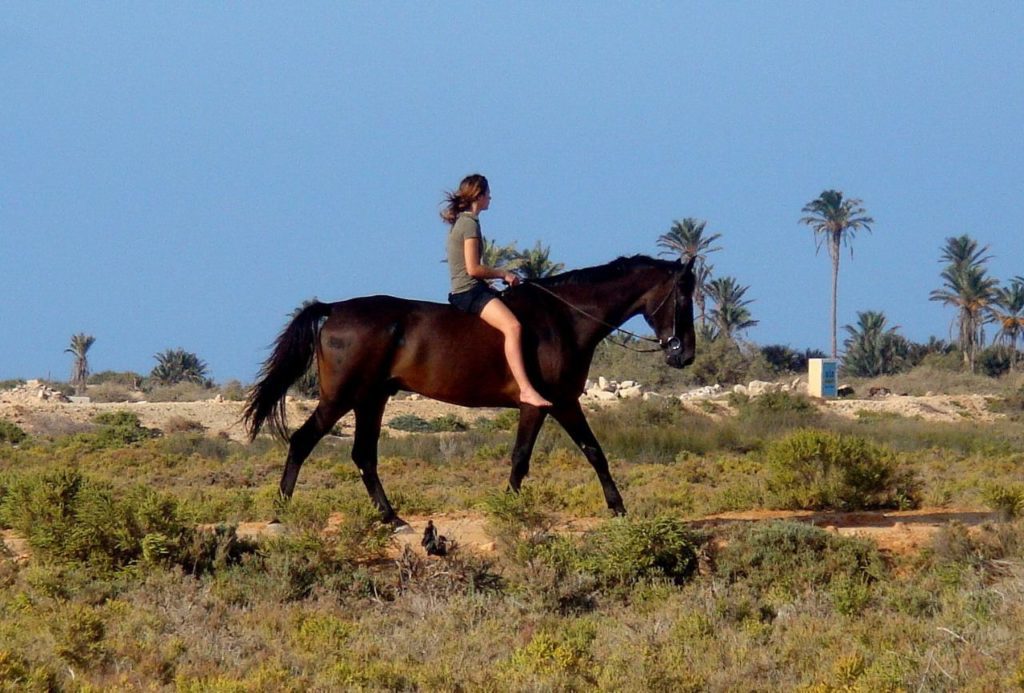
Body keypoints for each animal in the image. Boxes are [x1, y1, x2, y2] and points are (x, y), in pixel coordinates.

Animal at [243, 253, 696, 524]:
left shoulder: (564, 402)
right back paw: (281, 511)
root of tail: (334, 310)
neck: (564, 318)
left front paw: (618, 509)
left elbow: (593, 452)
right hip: (342, 398)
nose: (685, 354)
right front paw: (509, 509)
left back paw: (391, 517)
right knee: (303, 441)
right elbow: (523, 458)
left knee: (363, 456)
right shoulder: (543, 404)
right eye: (684, 296)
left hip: (372, 399)